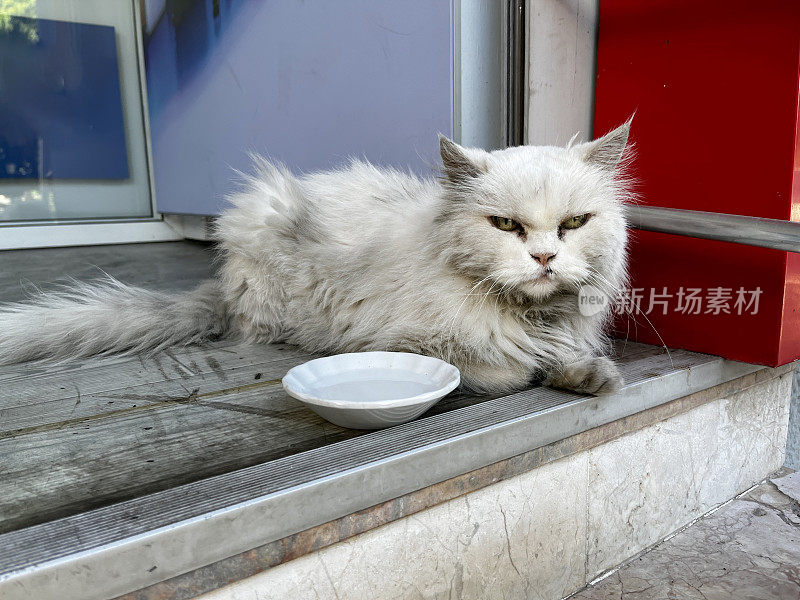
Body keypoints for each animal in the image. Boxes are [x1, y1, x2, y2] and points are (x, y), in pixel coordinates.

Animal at [0, 121, 632, 394]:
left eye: (574, 225)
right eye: (505, 226)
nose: (545, 257)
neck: (534, 317)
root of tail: (221, 284)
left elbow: (573, 361)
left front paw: (588, 376)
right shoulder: (394, 341)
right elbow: (504, 371)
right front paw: (537, 370)